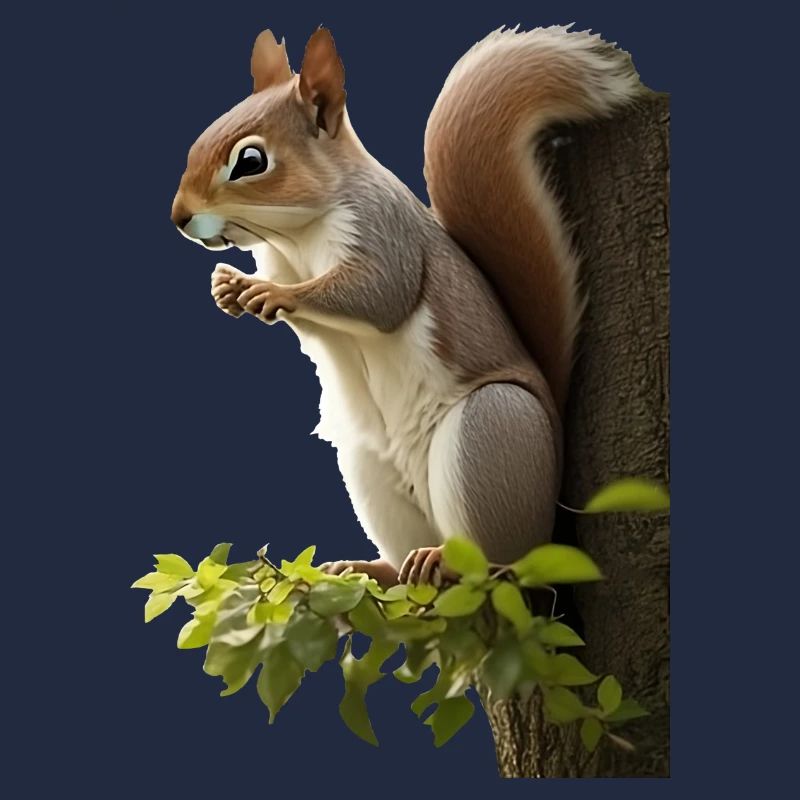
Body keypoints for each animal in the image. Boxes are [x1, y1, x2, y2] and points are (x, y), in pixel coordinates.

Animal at [171, 25, 643, 588]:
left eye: (250, 162)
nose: (179, 217)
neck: (296, 236)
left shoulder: (383, 231)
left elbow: (379, 295)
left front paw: (271, 294)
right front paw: (230, 289)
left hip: (494, 434)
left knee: (499, 561)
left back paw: (456, 561)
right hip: (369, 469)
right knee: (402, 558)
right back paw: (373, 567)